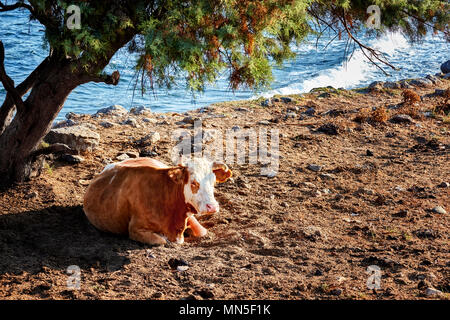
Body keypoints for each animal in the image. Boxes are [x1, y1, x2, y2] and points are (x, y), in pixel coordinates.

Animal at [82, 157, 232, 245]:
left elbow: (201, 232)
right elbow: (161, 241)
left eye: (213, 182)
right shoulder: (135, 229)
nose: (212, 207)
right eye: (194, 183)